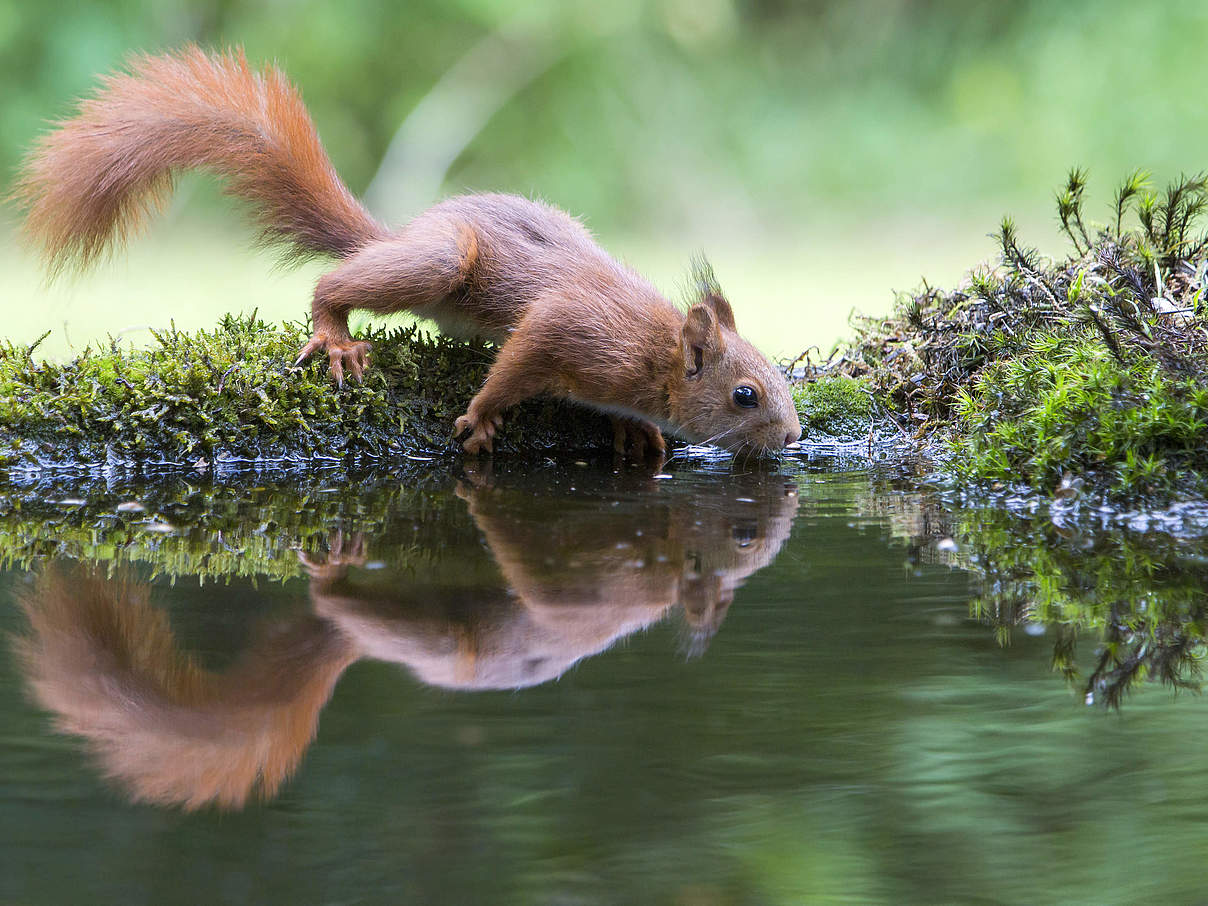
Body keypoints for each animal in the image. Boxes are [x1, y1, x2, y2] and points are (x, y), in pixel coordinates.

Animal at [16, 44, 802, 454]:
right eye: (745, 394)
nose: (793, 438)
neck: (654, 353)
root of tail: (405, 232)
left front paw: (638, 435)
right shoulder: (576, 331)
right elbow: (518, 360)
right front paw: (483, 416)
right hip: (441, 263)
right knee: (334, 285)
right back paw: (335, 337)